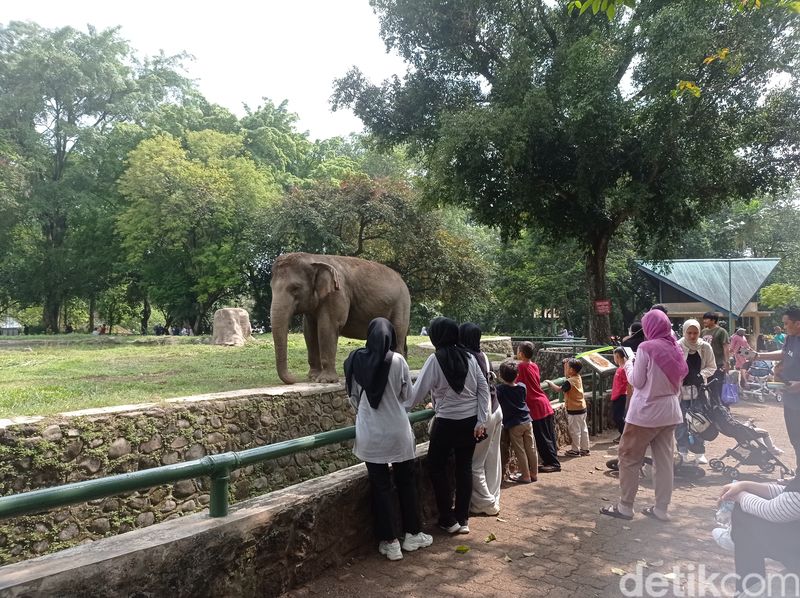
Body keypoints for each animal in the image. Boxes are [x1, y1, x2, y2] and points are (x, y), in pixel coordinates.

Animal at [274, 253, 412, 384]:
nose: (294, 378)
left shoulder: (337, 293)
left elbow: (327, 326)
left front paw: (325, 380)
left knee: (398, 335)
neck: (314, 258)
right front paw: (312, 377)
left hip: (401, 306)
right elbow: (309, 331)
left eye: (295, 288)